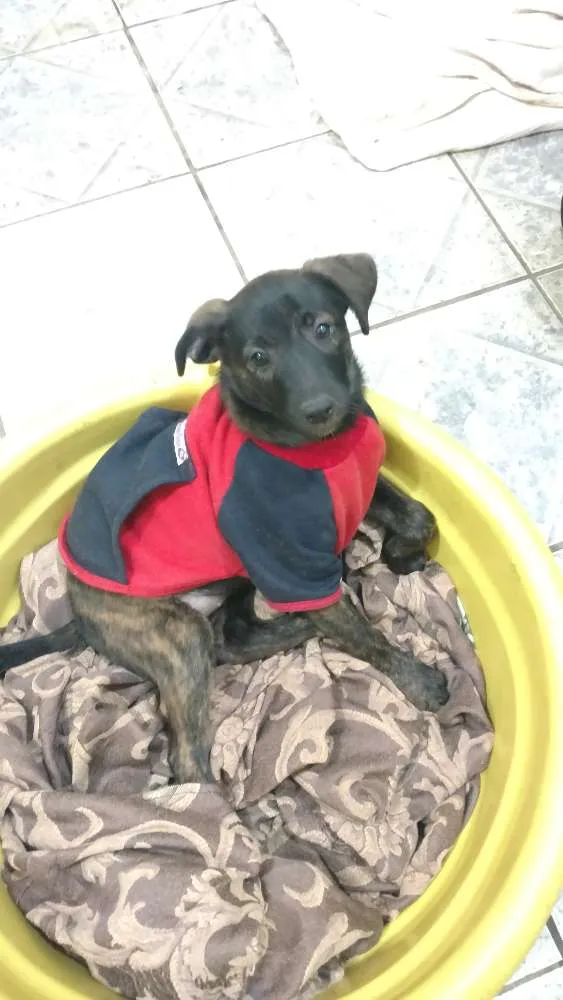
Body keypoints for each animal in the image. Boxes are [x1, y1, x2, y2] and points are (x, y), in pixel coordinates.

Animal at [0, 253, 448, 782]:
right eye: (257, 358)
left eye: (322, 328)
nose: (321, 409)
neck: (320, 451)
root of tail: (82, 615)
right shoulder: (288, 567)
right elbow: (363, 634)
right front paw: (417, 679)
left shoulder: (359, 485)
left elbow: (419, 514)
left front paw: (401, 553)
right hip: (177, 633)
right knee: (189, 751)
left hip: (233, 581)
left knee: (232, 636)